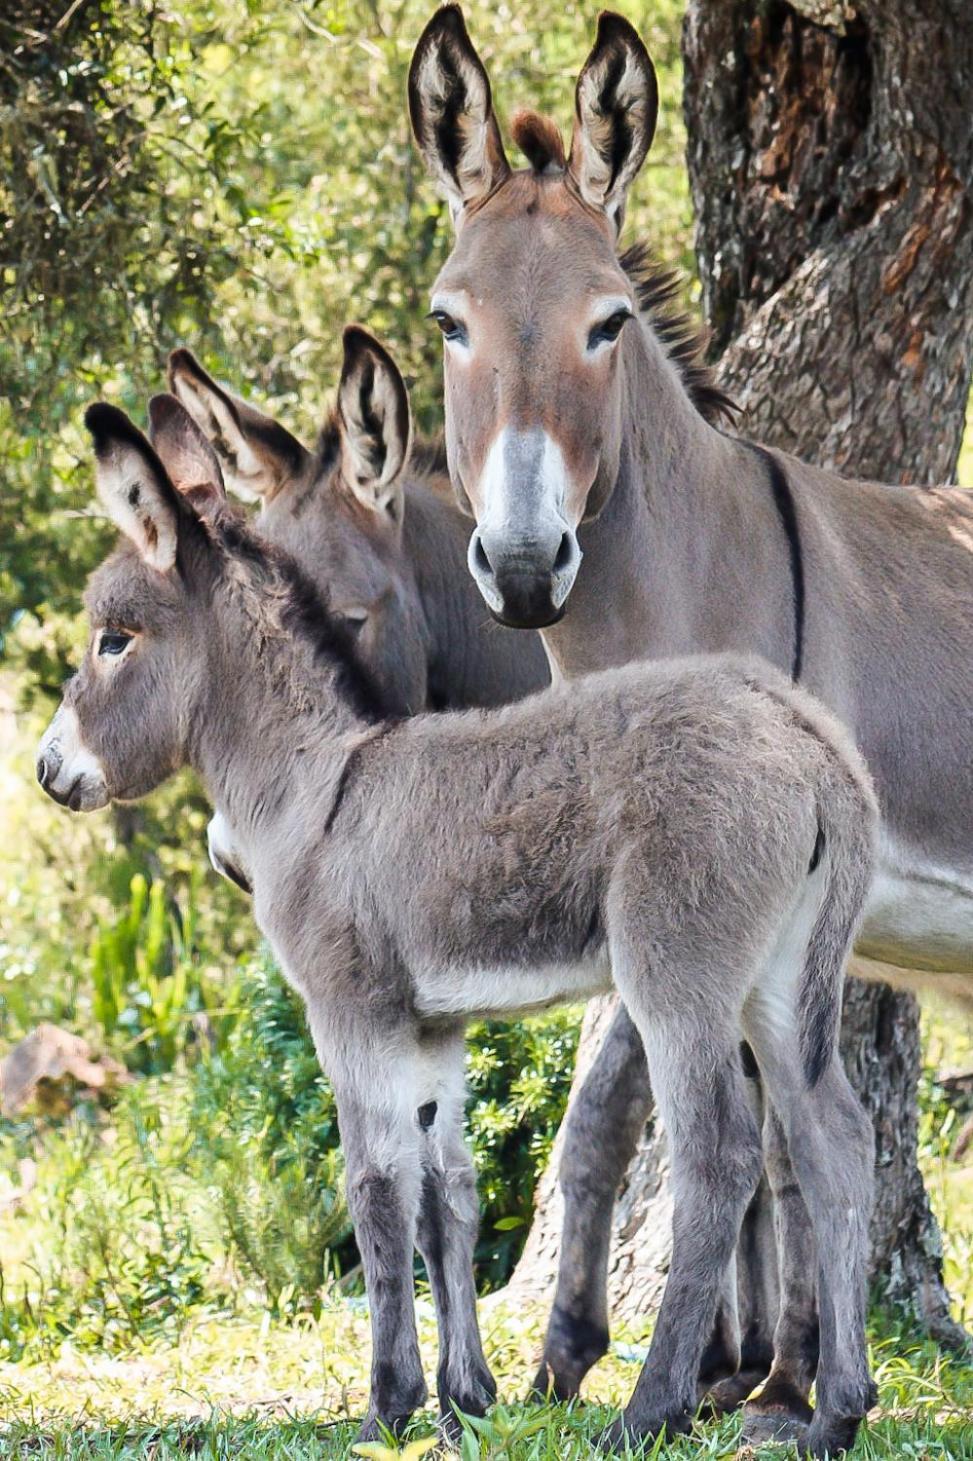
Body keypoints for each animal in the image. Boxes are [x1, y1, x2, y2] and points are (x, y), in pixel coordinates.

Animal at [37, 394, 876, 1455]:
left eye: (113, 640)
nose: (46, 771)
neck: (317, 784)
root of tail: (808, 741)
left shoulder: (349, 1014)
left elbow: (377, 1187)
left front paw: (387, 1402)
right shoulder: (430, 1027)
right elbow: (451, 1197)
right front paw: (463, 1396)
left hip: (677, 970)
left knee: (719, 1154)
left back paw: (650, 1409)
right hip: (779, 977)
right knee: (831, 1139)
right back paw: (838, 1409)